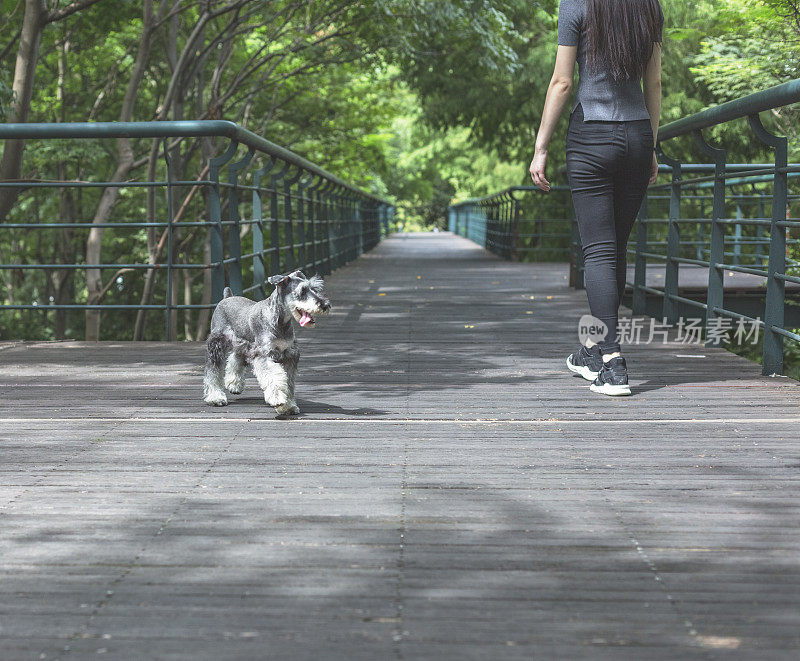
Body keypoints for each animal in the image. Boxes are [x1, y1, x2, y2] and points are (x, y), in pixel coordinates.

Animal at [206, 268, 334, 412]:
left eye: (314, 289)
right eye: (302, 291)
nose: (325, 305)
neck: (280, 321)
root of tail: (227, 297)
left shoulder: (290, 355)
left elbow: (288, 382)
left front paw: (288, 406)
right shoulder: (264, 354)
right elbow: (274, 376)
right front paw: (278, 399)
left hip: (243, 343)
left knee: (236, 357)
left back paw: (234, 384)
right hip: (217, 344)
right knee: (213, 370)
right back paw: (215, 397)